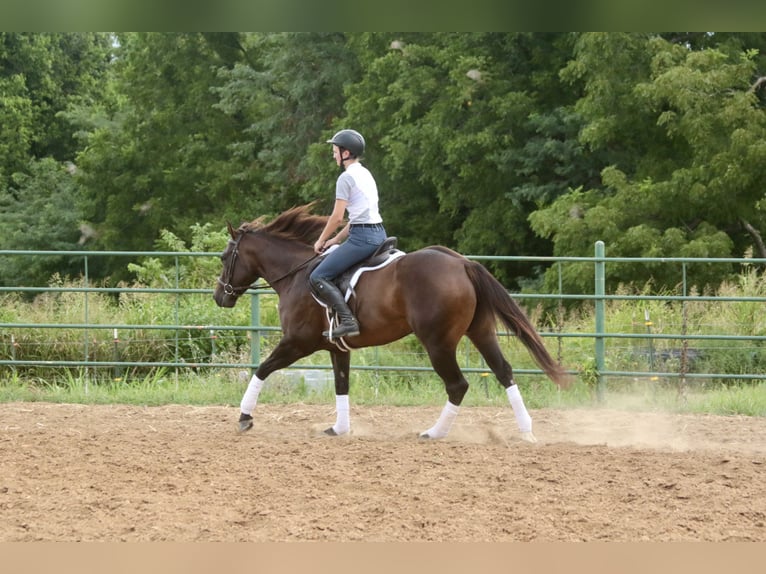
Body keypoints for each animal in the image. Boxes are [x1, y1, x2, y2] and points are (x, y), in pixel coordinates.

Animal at [213, 204, 569, 442]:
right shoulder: (337, 347)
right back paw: (526, 431)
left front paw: (244, 417)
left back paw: (434, 433)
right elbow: (341, 384)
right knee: (504, 372)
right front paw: (340, 429)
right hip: (480, 332)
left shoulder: (297, 342)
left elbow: (262, 369)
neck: (298, 274)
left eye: (224, 257)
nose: (219, 296)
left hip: (438, 343)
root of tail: (461, 263)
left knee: (458, 385)